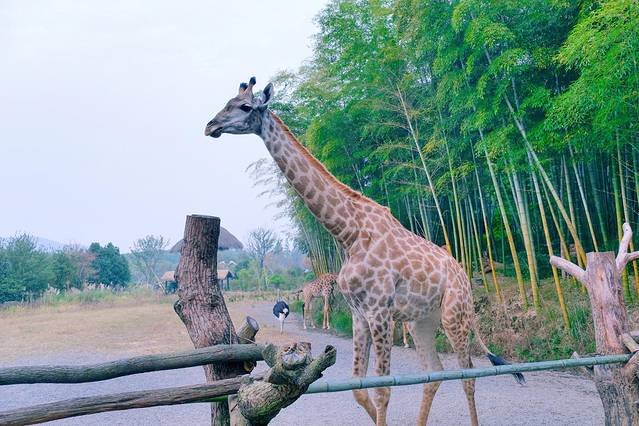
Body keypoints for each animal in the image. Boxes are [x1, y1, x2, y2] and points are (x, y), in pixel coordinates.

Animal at [204, 77, 524, 426]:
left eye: (245, 106)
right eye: (227, 102)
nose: (211, 125)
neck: (349, 234)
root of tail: (465, 276)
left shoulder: (380, 311)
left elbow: (383, 388)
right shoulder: (360, 313)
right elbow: (359, 387)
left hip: (456, 315)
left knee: (468, 375)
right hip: (422, 321)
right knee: (434, 372)